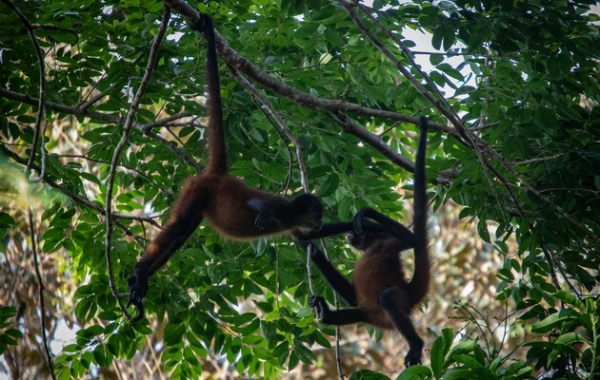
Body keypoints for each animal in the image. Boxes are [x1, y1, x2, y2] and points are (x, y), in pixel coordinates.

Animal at [127, 15, 324, 324]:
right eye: (318, 212)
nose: (321, 221)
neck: (291, 216)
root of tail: (218, 177)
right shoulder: (282, 209)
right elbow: (260, 204)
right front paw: (262, 213)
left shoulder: (295, 226)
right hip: (198, 190)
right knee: (179, 227)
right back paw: (139, 273)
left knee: (181, 233)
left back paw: (138, 279)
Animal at [304, 117, 432, 366]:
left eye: (357, 232)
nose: (349, 235)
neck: (372, 247)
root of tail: (409, 293)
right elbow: (353, 297)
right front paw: (313, 252)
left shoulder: (389, 242)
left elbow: (412, 239)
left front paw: (366, 212)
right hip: (373, 315)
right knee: (359, 310)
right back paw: (326, 313)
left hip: (399, 299)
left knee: (388, 298)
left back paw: (415, 344)